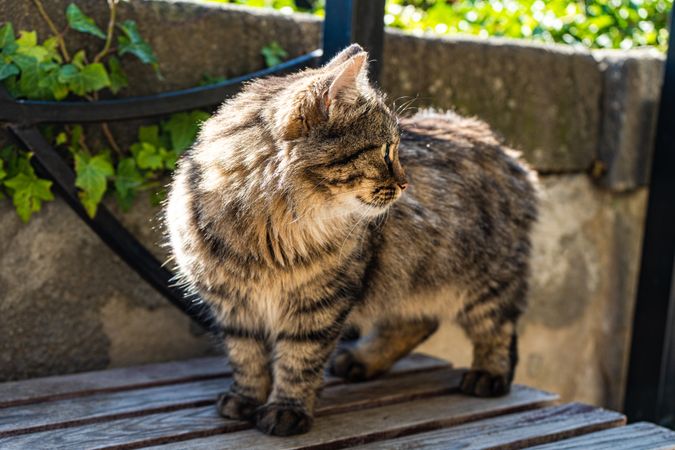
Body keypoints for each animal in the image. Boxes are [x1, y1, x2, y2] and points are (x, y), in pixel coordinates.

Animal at [165, 43, 540, 436]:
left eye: (399, 148)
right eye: (386, 151)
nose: (405, 183)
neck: (269, 232)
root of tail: (507, 150)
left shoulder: (320, 302)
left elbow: (298, 360)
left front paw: (286, 409)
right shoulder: (233, 305)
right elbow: (246, 358)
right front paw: (246, 399)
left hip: (486, 278)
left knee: (498, 328)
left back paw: (488, 375)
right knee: (418, 321)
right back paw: (363, 361)